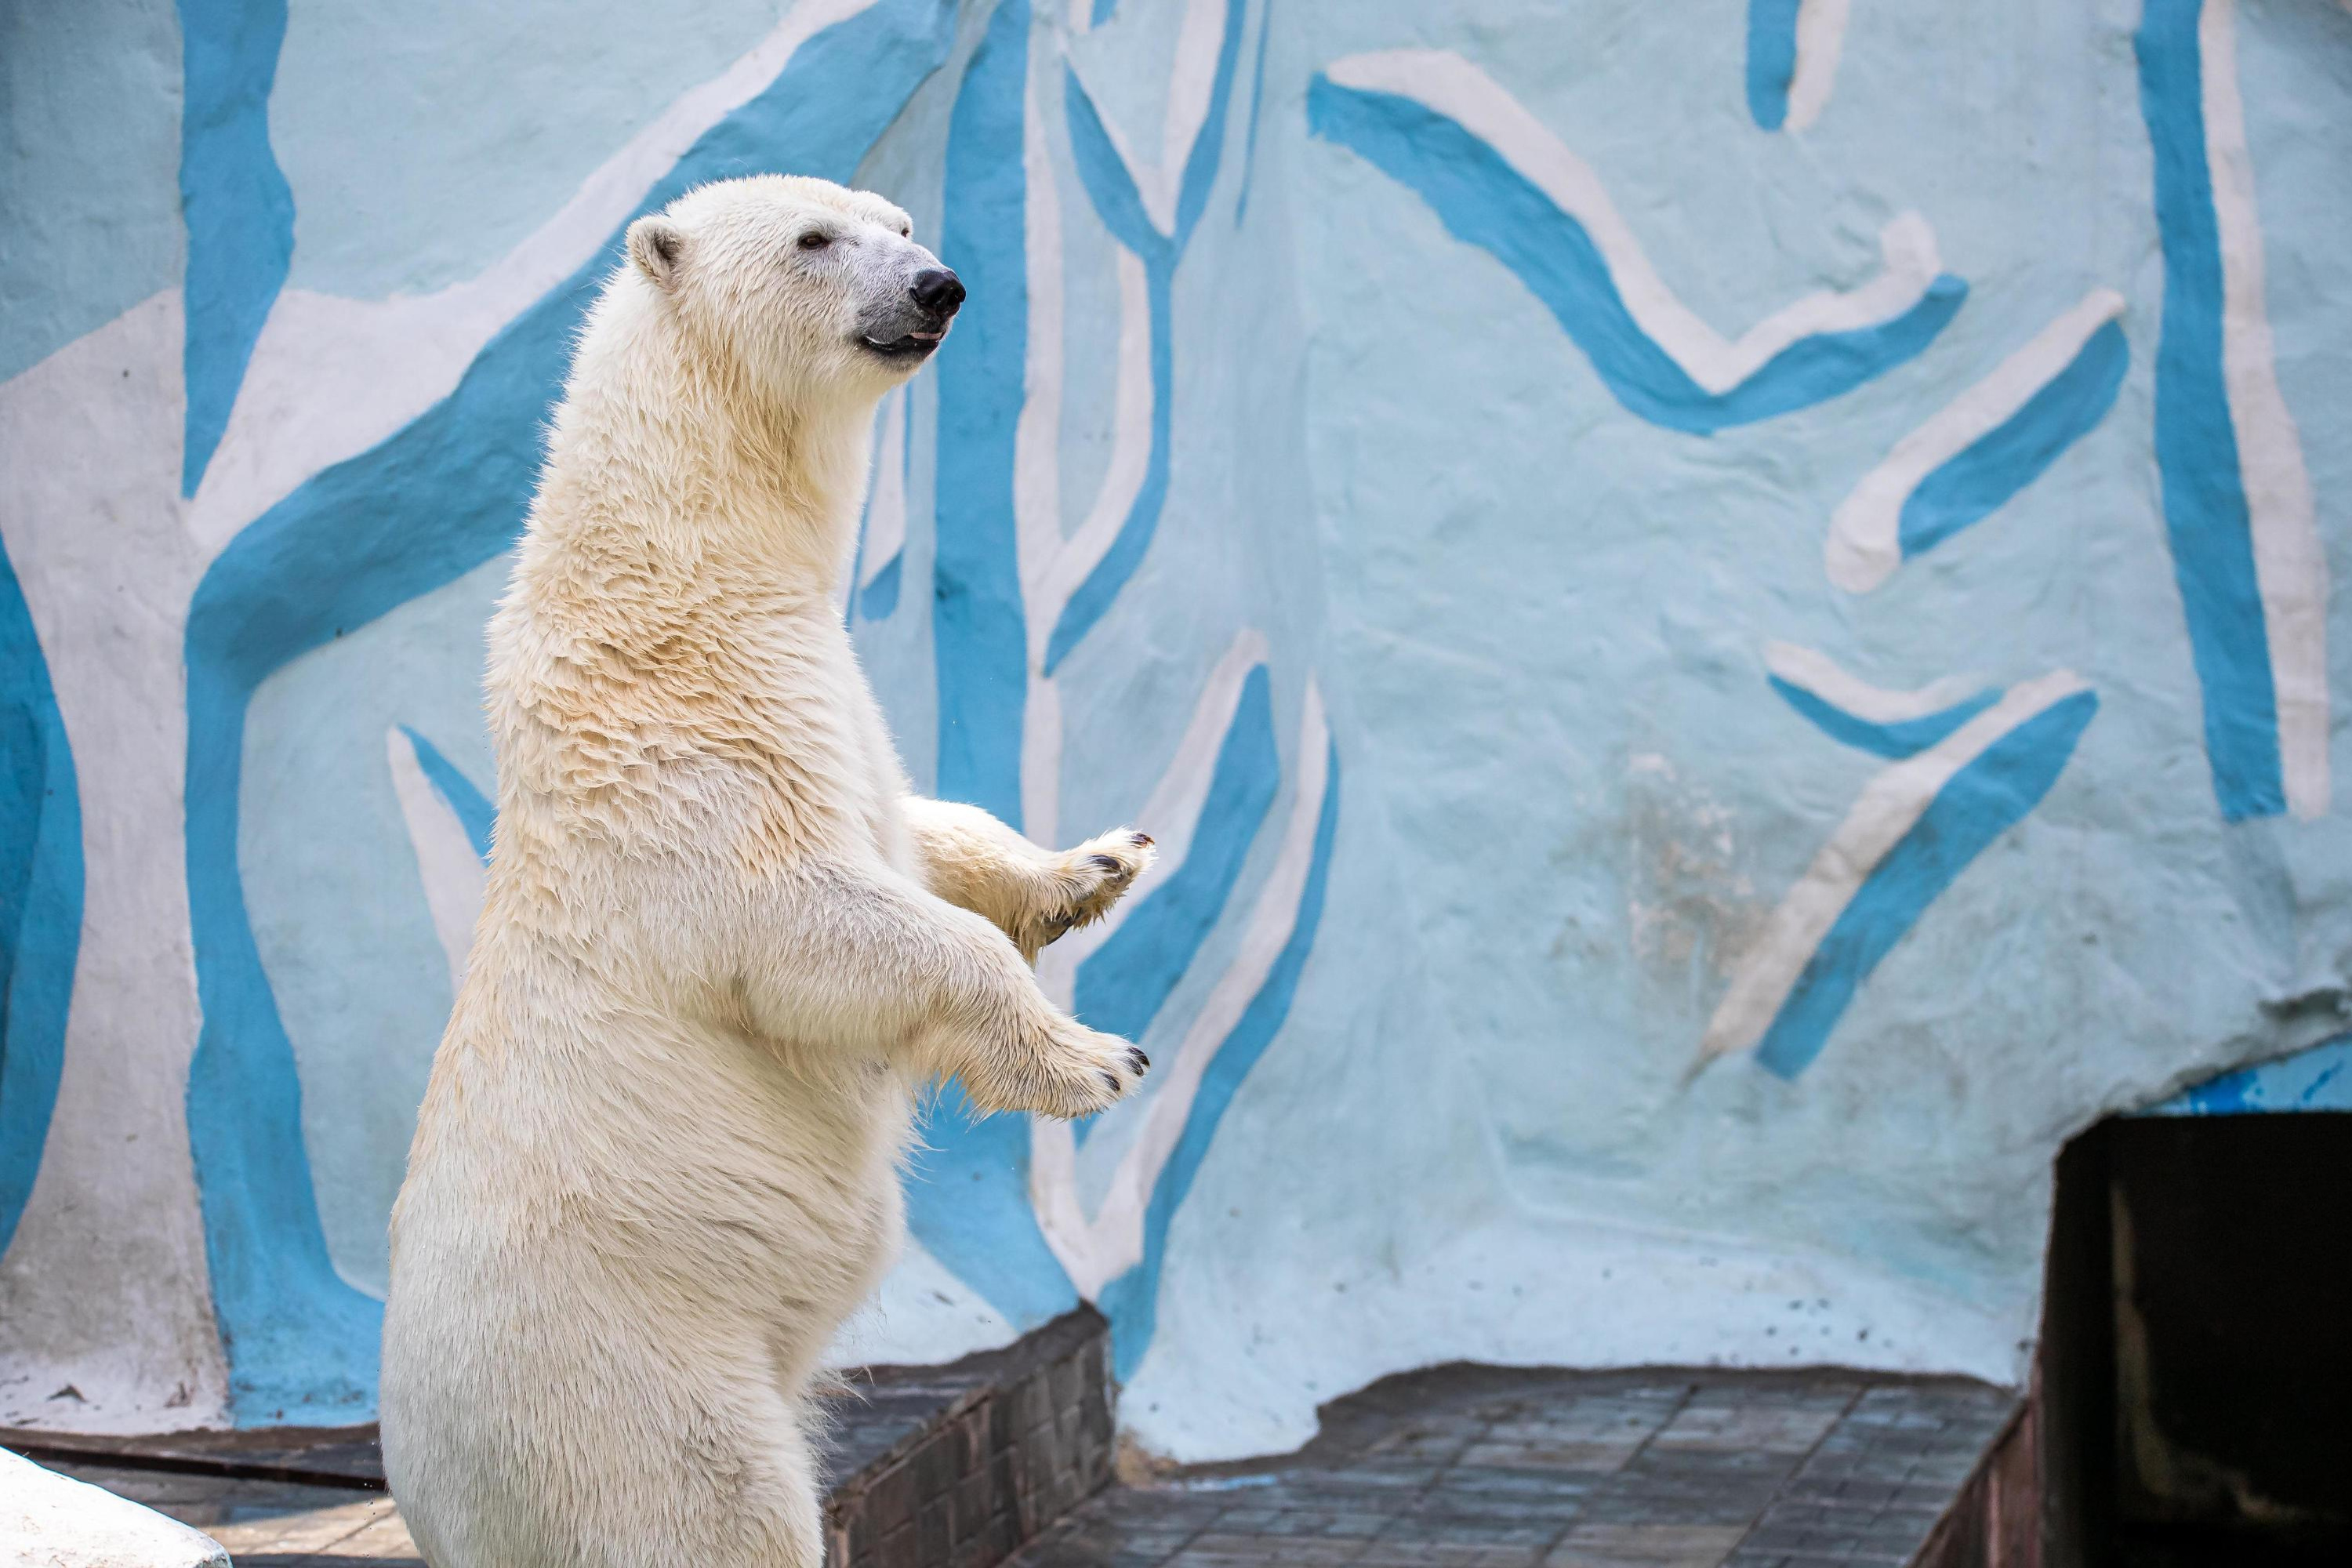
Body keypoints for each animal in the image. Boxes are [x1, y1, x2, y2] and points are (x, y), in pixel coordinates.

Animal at [381, 177, 1152, 1568]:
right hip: (620, 1373)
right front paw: (1092, 1059)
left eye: (897, 221)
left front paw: (1094, 865)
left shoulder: (818, 689)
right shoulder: (683, 740)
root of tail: (424, 1487)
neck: (684, 564)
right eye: (815, 239)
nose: (940, 284)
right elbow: (793, 917)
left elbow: (912, 827)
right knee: (708, 1509)